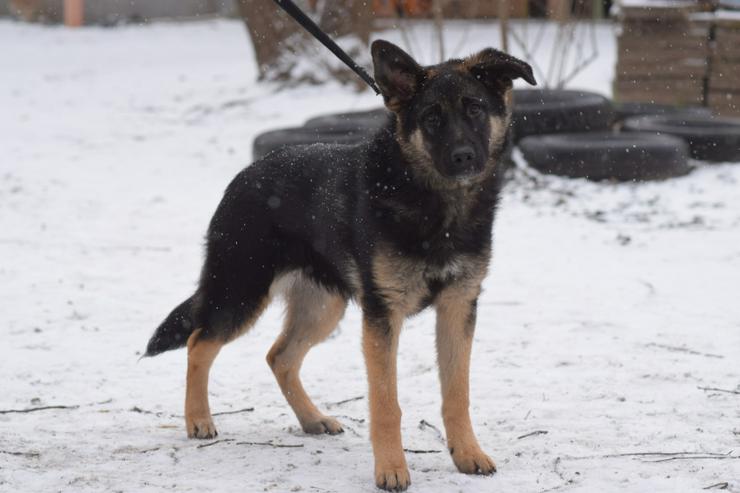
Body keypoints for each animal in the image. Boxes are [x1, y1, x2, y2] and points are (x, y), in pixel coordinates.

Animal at [145, 40, 536, 490]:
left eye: (474, 109)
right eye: (431, 118)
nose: (463, 157)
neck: (433, 202)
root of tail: (246, 174)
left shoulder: (458, 306)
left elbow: (457, 393)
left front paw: (467, 454)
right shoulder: (383, 315)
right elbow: (386, 402)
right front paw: (391, 469)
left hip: (323, 307)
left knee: (279, 357)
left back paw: (312, 419)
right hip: (241, 291)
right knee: (199, 343)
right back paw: (198, 420)